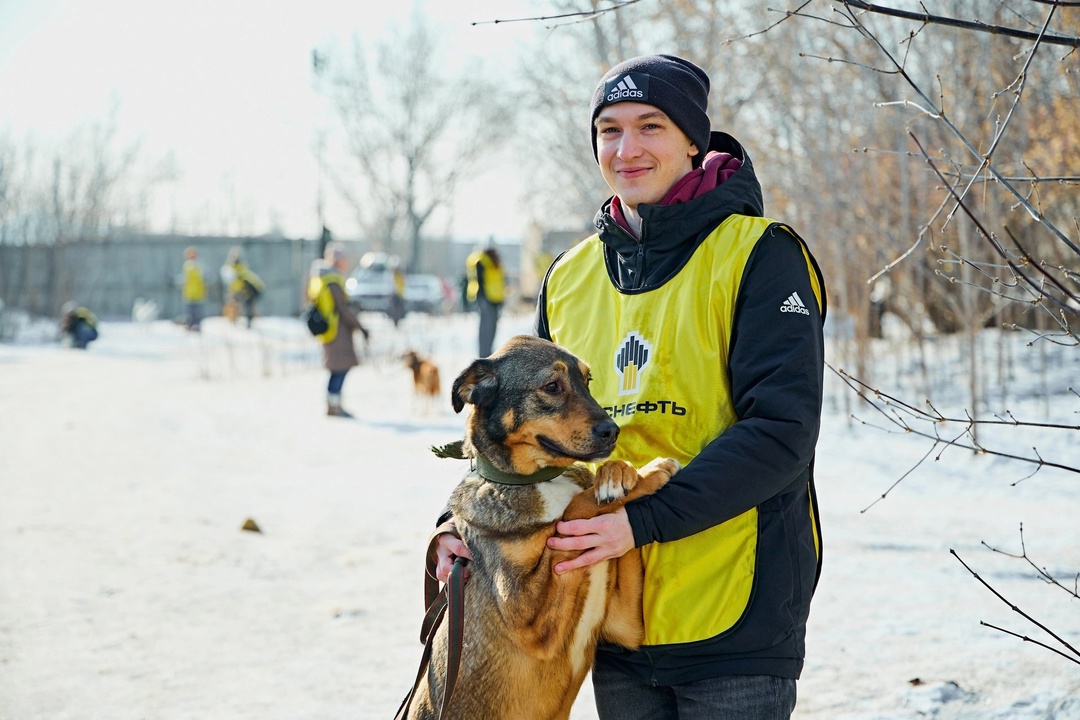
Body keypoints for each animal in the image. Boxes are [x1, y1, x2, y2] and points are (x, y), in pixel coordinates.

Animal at [401, 334, 678, 720]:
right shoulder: (530, 617)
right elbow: (574, 510)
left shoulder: (626, 624)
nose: (612, 431)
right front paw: (644, 473)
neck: (540, 478)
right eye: (552, 386)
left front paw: (620, 475)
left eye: (587, 381)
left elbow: (593, 497)